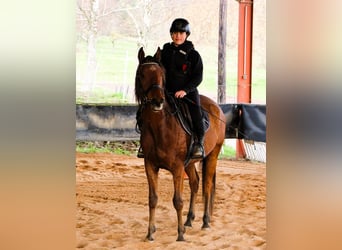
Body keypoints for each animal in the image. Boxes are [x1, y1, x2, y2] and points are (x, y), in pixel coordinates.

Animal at [135, 46, 226, 240]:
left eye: (161, 74)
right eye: (142, 74)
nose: (157, 101)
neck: (161, 127)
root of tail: (217, 108)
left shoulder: (177, 168)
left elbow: (177, 200)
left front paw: (180, 235)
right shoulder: (150, 165)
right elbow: (152, 199)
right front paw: (150, 233)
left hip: (212, 155)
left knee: (207, 186)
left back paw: (205, 222)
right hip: (190, 163)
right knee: (195, 183)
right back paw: (189, 220)